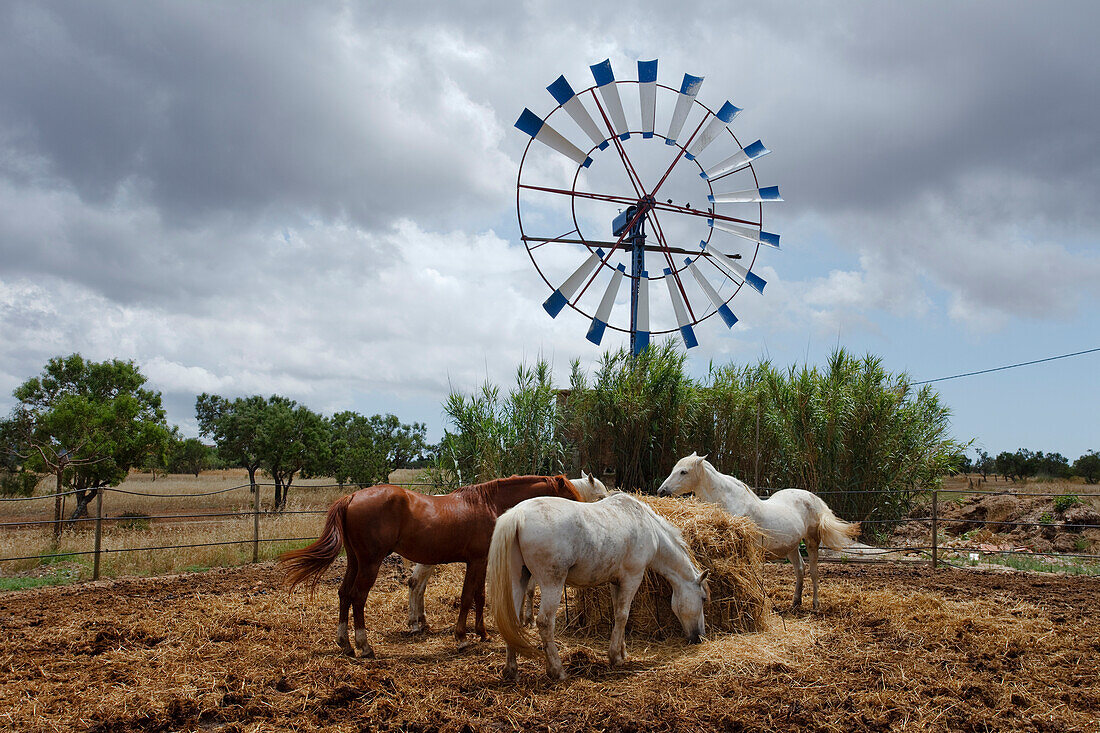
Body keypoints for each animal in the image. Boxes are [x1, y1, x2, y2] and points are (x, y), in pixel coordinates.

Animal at [279, 473, 580, 655]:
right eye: (571, 496)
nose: (581, 515)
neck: (489, 505)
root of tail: (351, 497)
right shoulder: (476, 561)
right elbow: (467, 597)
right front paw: (461, 638)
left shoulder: (480, 561)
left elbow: (480, 598)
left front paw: (481, 633)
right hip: (370, 563)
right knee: (357, 596)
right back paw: (364, 646)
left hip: (355, 561)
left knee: (343, 594)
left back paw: (345, 643)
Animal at [407, 471, 611, 629]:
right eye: (600, 496)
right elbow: (529, 590)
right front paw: (527, 619)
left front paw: (521, 618)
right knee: (415, 582)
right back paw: (415, 622)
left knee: (419, 583)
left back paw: (421, 620)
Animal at [486, 490, 708, 677]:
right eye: (704, 599)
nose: (700, 637)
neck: (648, 527)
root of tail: (518, 515)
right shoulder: (632, 579)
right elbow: (623, 615)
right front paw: (615, 657)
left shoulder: (616, 582)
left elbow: (619, 615)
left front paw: (622, 651)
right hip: (552, 584)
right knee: (545, 623)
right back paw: (557, 670)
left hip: (518, 580)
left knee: (512, 620)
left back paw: (512, 670)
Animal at [655, 453, 862, 607]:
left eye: (683, 472)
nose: (661, 491)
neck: (731, 501)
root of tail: (813, 498)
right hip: (792, 547)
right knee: (800, 570)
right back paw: (795, 603)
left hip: (811, 543)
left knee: (813, 571)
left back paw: (815, 604)